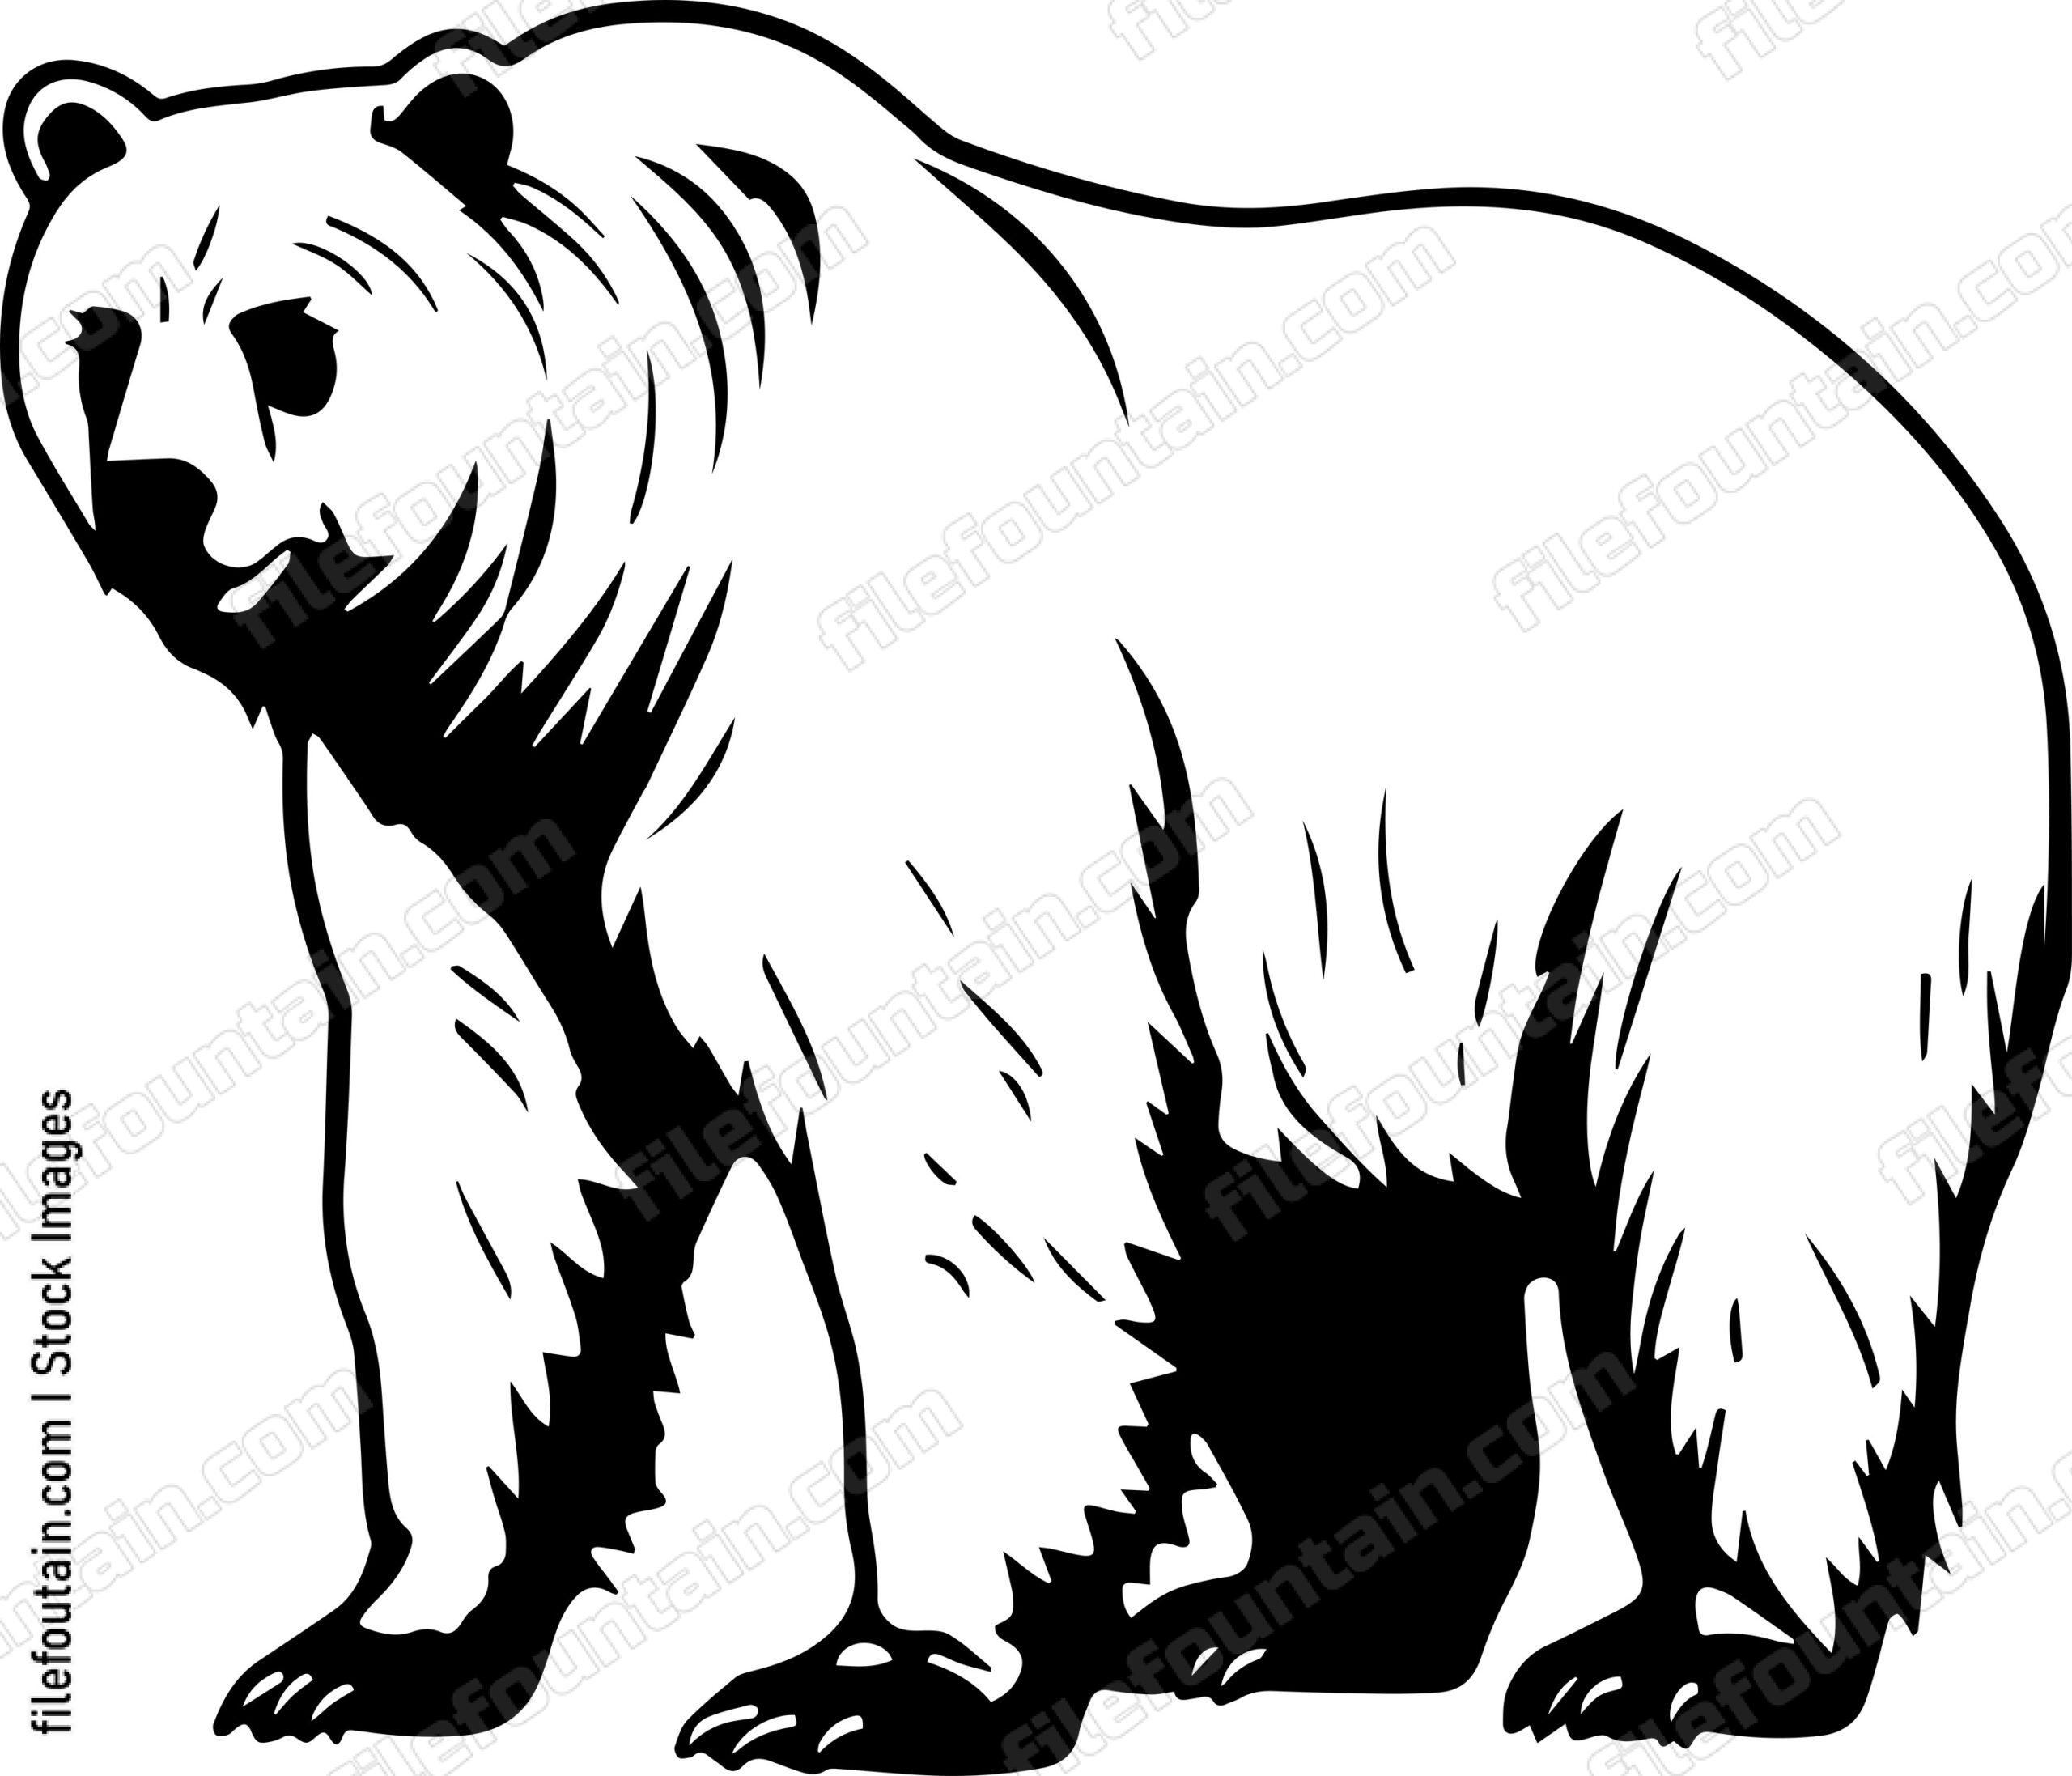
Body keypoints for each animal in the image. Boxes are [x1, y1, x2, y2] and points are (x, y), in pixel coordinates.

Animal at [5, 4, 2067, 1767]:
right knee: (1336, 1248)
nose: (161, 497)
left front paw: (856, 1683)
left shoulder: (857, 723)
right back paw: (1266, 1614)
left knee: (1738, 1205)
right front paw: (363, 1646)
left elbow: (964, 1146)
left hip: (1689, 825)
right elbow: (488, 1174)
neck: (590, 607)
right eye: (100, 337)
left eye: (294, 338)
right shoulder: (472, 807)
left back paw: (1678, 1650)